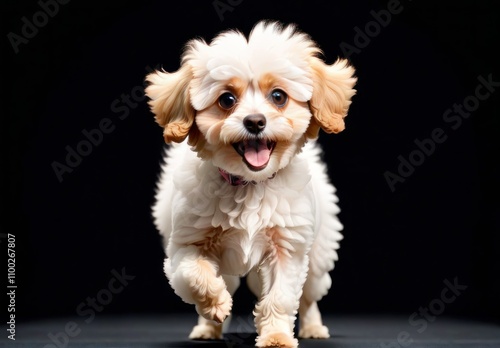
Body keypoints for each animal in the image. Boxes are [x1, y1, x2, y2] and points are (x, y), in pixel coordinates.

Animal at [145, 20, 356, 346]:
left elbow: (280, 298)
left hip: (318, 254)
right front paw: (215, 304)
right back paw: (208, 328)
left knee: (309, 296)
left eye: (279, 97)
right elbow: (193, 275)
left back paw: (313, 327)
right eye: (227, 100)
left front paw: (277, 337)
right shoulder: (185, 243)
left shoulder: (287, 250)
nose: (255, 121)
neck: (249, 185)